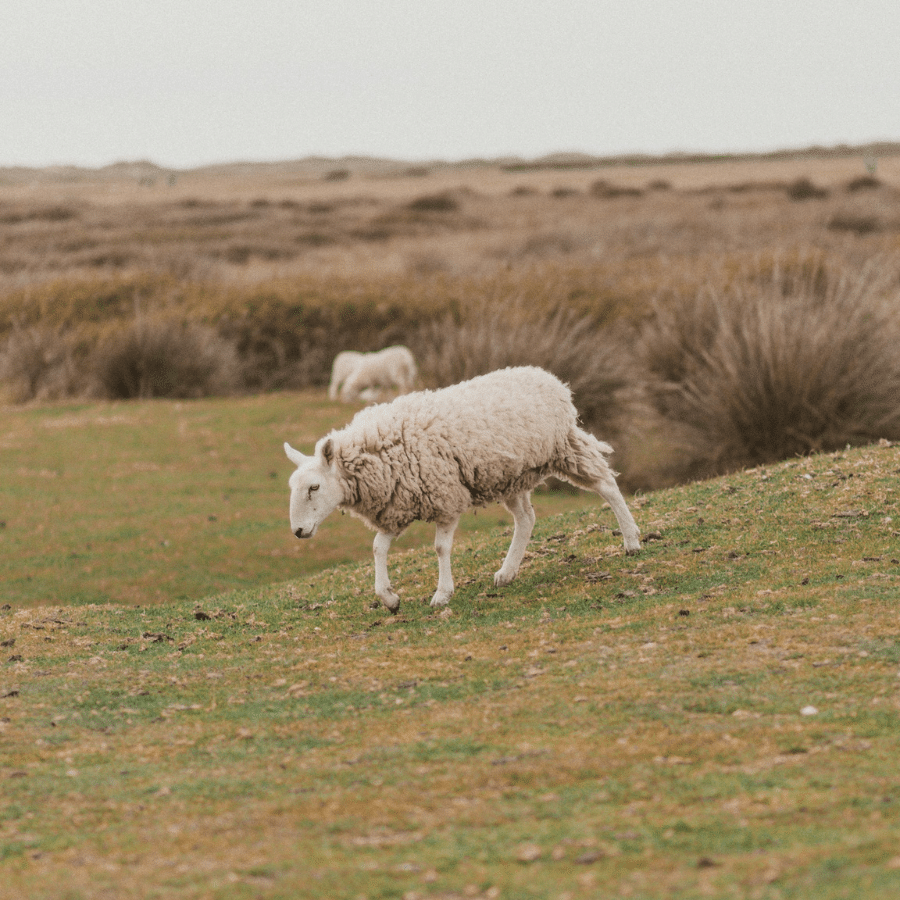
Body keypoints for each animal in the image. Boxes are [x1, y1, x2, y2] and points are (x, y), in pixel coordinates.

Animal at [285, 366, 640, 614]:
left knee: (606, 485)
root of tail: (549, 378)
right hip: (510, 475)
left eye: (314, 487)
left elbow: (440, 548)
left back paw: (632, 540)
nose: (298, 531)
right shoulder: (398, 506)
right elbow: (377, 548)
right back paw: (507, 572)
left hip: (562, 447)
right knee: (526, 519)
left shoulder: (444, 497)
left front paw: (442, 594)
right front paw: (388, 597)